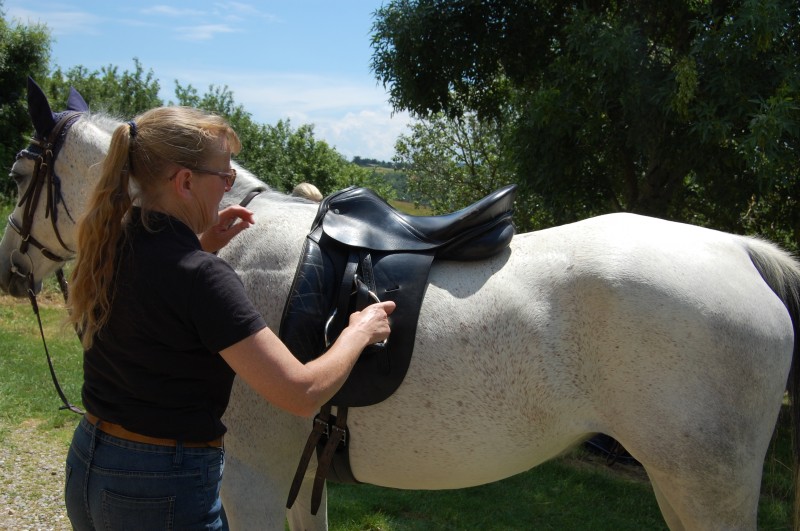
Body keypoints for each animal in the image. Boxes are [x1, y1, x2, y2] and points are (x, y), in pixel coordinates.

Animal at [1, 81, 799, 531]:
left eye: (15, 175)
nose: (10, 266)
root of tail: (740, 251)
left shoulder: (250, 479)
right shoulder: (295, 479)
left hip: (704, 485)